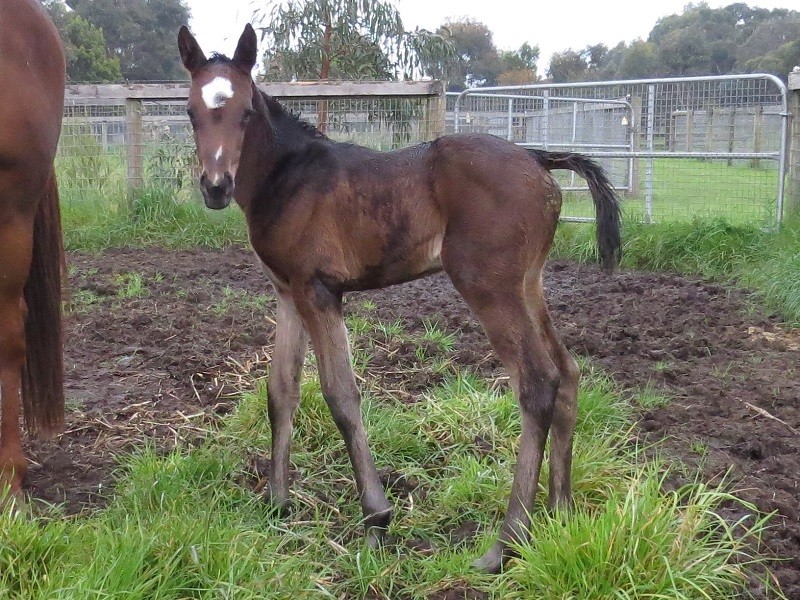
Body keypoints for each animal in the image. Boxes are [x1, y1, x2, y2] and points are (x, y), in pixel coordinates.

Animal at [178, 23, 620, 572]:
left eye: (244, 113)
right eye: (190, 112)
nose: (216, 187)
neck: (288, 175)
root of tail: (538, 159)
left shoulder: (319, 290)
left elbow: (340, 395)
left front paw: (377, 517)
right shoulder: (286, 291)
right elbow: (281, 390)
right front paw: (276, 505)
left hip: (488, 286)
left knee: (538, 384)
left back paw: (506, 543)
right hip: (528, 284)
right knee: (569, 372)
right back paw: (560, 513)